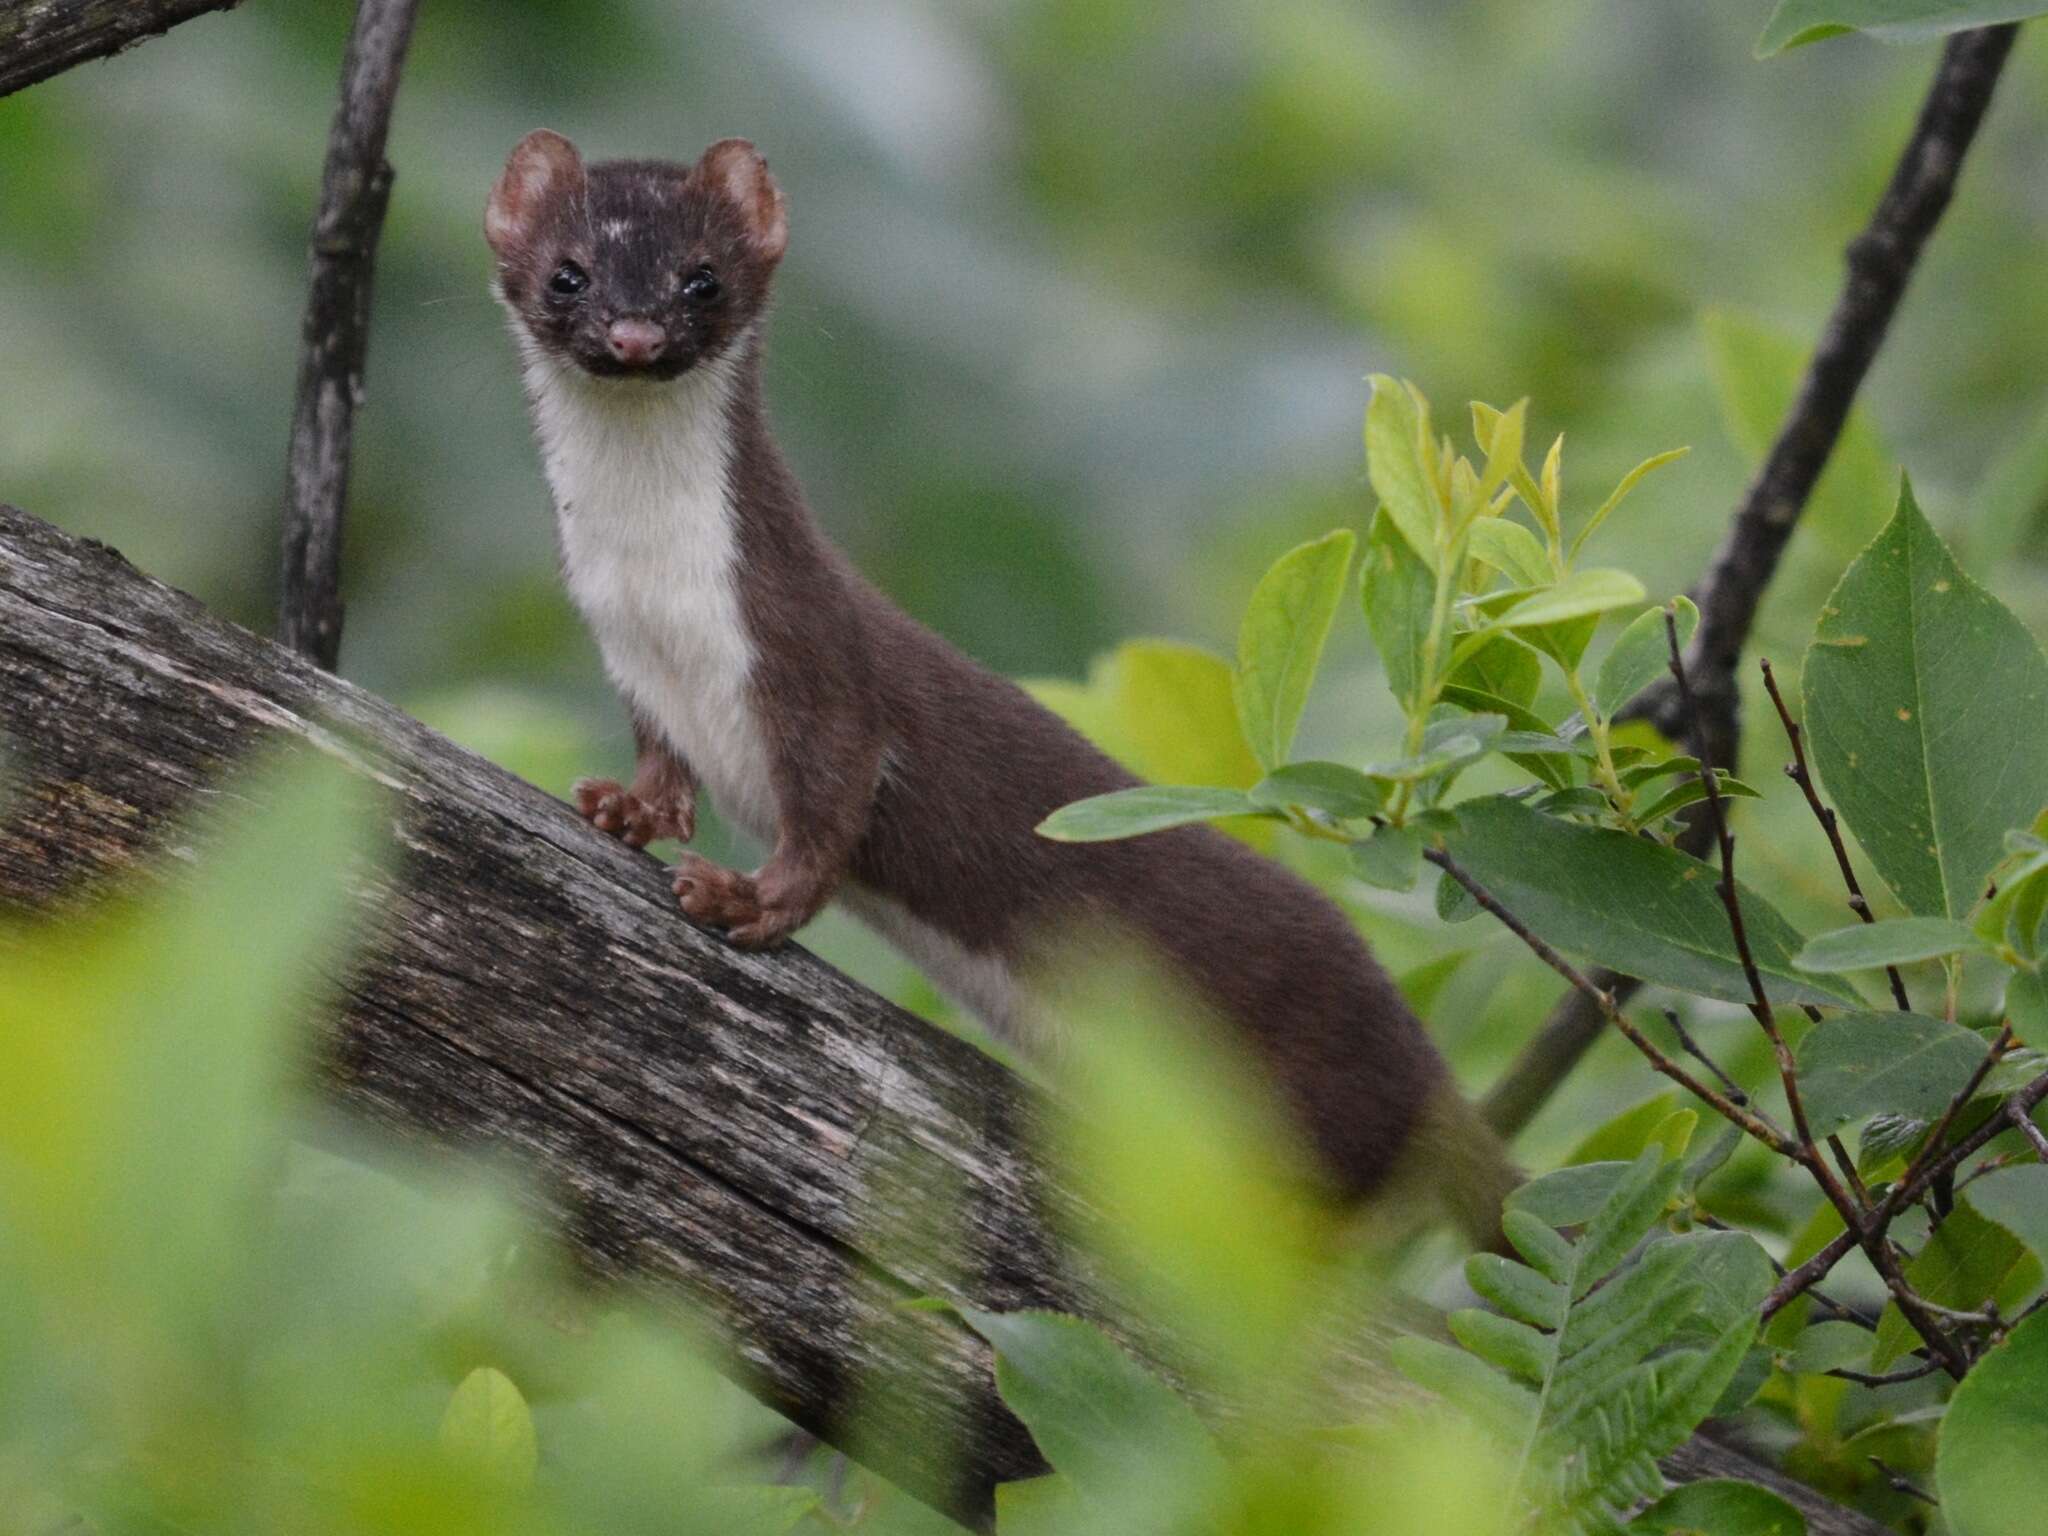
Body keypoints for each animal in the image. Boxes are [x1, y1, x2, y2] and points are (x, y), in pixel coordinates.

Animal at [483, 126, 1523, 1245]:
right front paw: (622, 810)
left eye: (700, 277)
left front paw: (742, 898)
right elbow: (662, 759)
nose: (634, 334)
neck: (663, 607)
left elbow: (832, 808)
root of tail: (1425, 1070)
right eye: (569, 272)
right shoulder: (630, 662)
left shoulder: (813, 659)